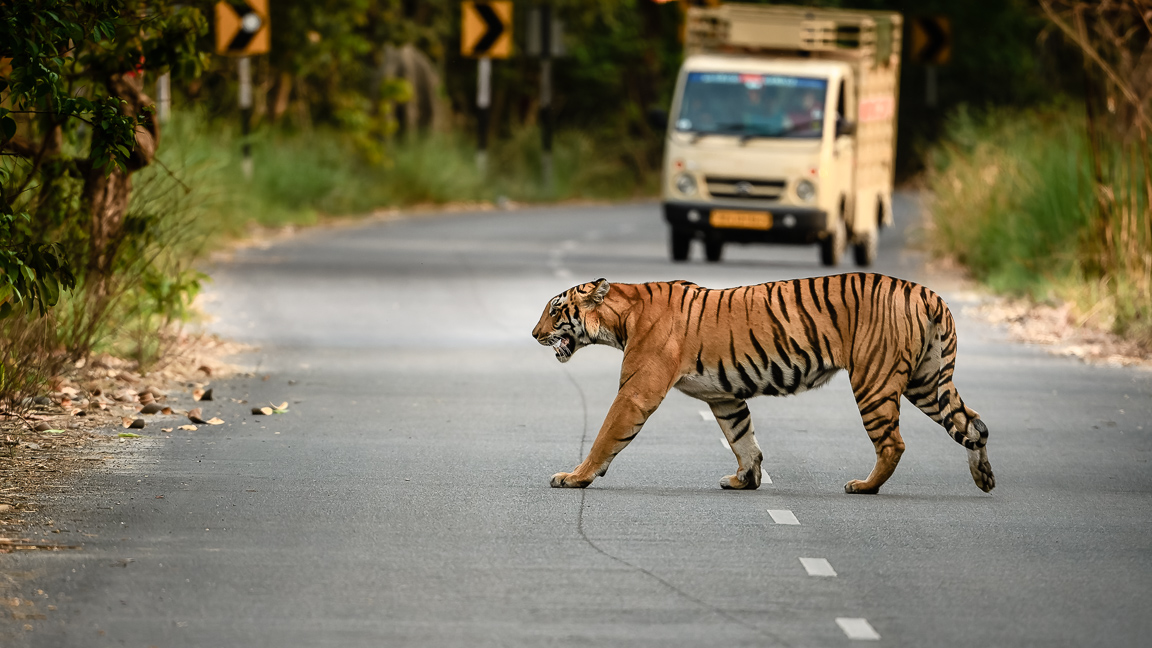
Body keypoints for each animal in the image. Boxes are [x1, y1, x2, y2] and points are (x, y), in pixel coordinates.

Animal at [534, 269, 995, 491]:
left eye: (555, 311)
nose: (535, 334)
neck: (622, 316)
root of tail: (926, 292)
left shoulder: (636, 391)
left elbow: (605, 436)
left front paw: (575, 476)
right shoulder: (724, 396)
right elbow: (743, 439)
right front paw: (745, 480)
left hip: (874, 381)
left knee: (894, 443)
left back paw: (864, 487)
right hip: (926, 381)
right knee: (974, 423)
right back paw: (984, 478)